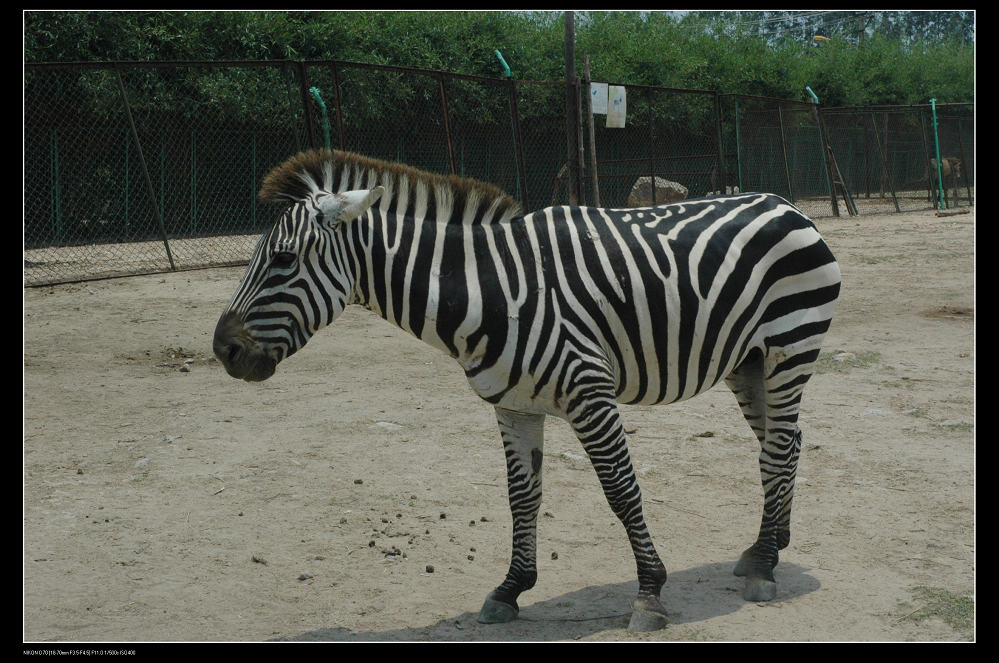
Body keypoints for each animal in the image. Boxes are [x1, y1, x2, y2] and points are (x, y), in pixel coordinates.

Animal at [213, 149, 844, 632]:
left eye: (283, 260)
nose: (223, 350)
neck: (490, 292)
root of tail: (783, 203)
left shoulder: (591, 395)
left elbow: (622, 492)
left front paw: (649, 592)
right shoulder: (512, 406)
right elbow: (523, 497)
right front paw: (511, 588)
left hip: (791, 346)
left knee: (778, 448)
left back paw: (764, 566)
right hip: (748, 362)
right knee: (784, 444)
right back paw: (768, 545)